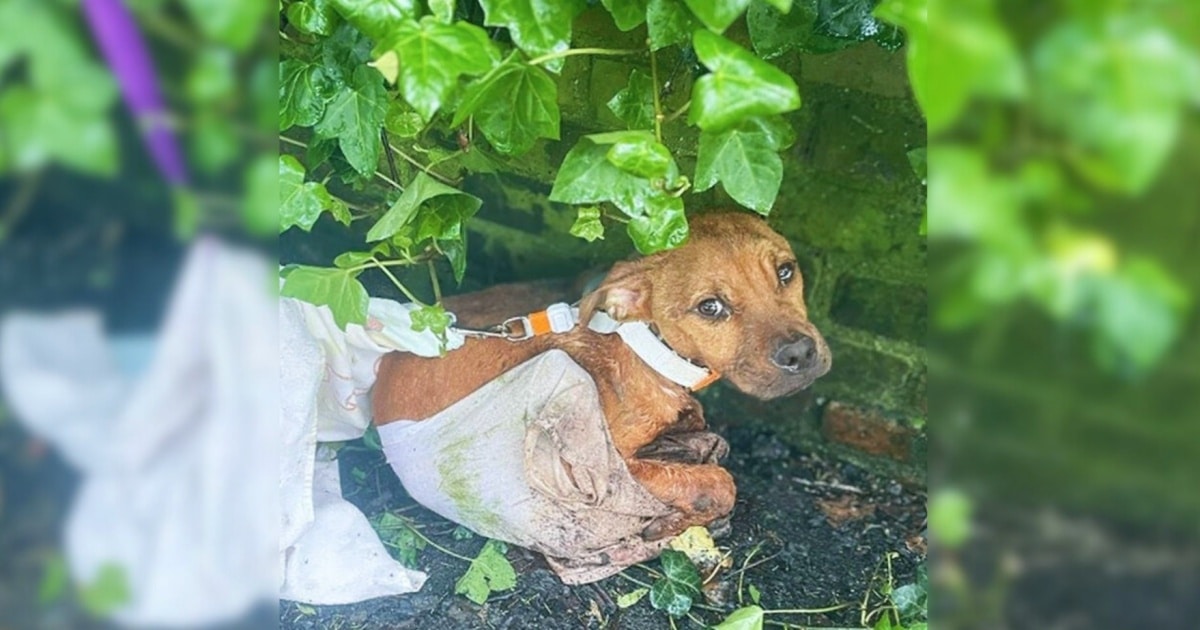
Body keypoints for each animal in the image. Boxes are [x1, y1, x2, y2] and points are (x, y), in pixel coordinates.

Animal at [369, 213, 830, 537]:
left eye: (786, 272)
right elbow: (718, 483)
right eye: (710, 307)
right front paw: (672, 519)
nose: (801, 353)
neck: (649, 351)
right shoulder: (607, 467)